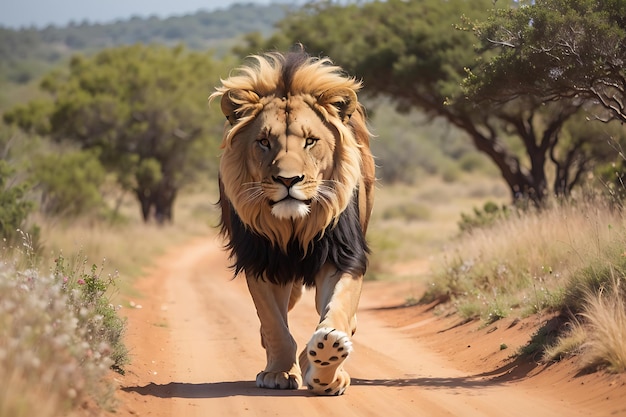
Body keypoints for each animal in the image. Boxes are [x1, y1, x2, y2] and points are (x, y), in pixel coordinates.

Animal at [210, 48, 376, 394]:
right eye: (264, 142)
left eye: (310, 141)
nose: (288, 180)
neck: (292, 227)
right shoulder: (261, 260)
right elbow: (274, 324)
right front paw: (278, 373)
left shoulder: (342, 255)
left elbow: (338, 307)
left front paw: (328, 364)